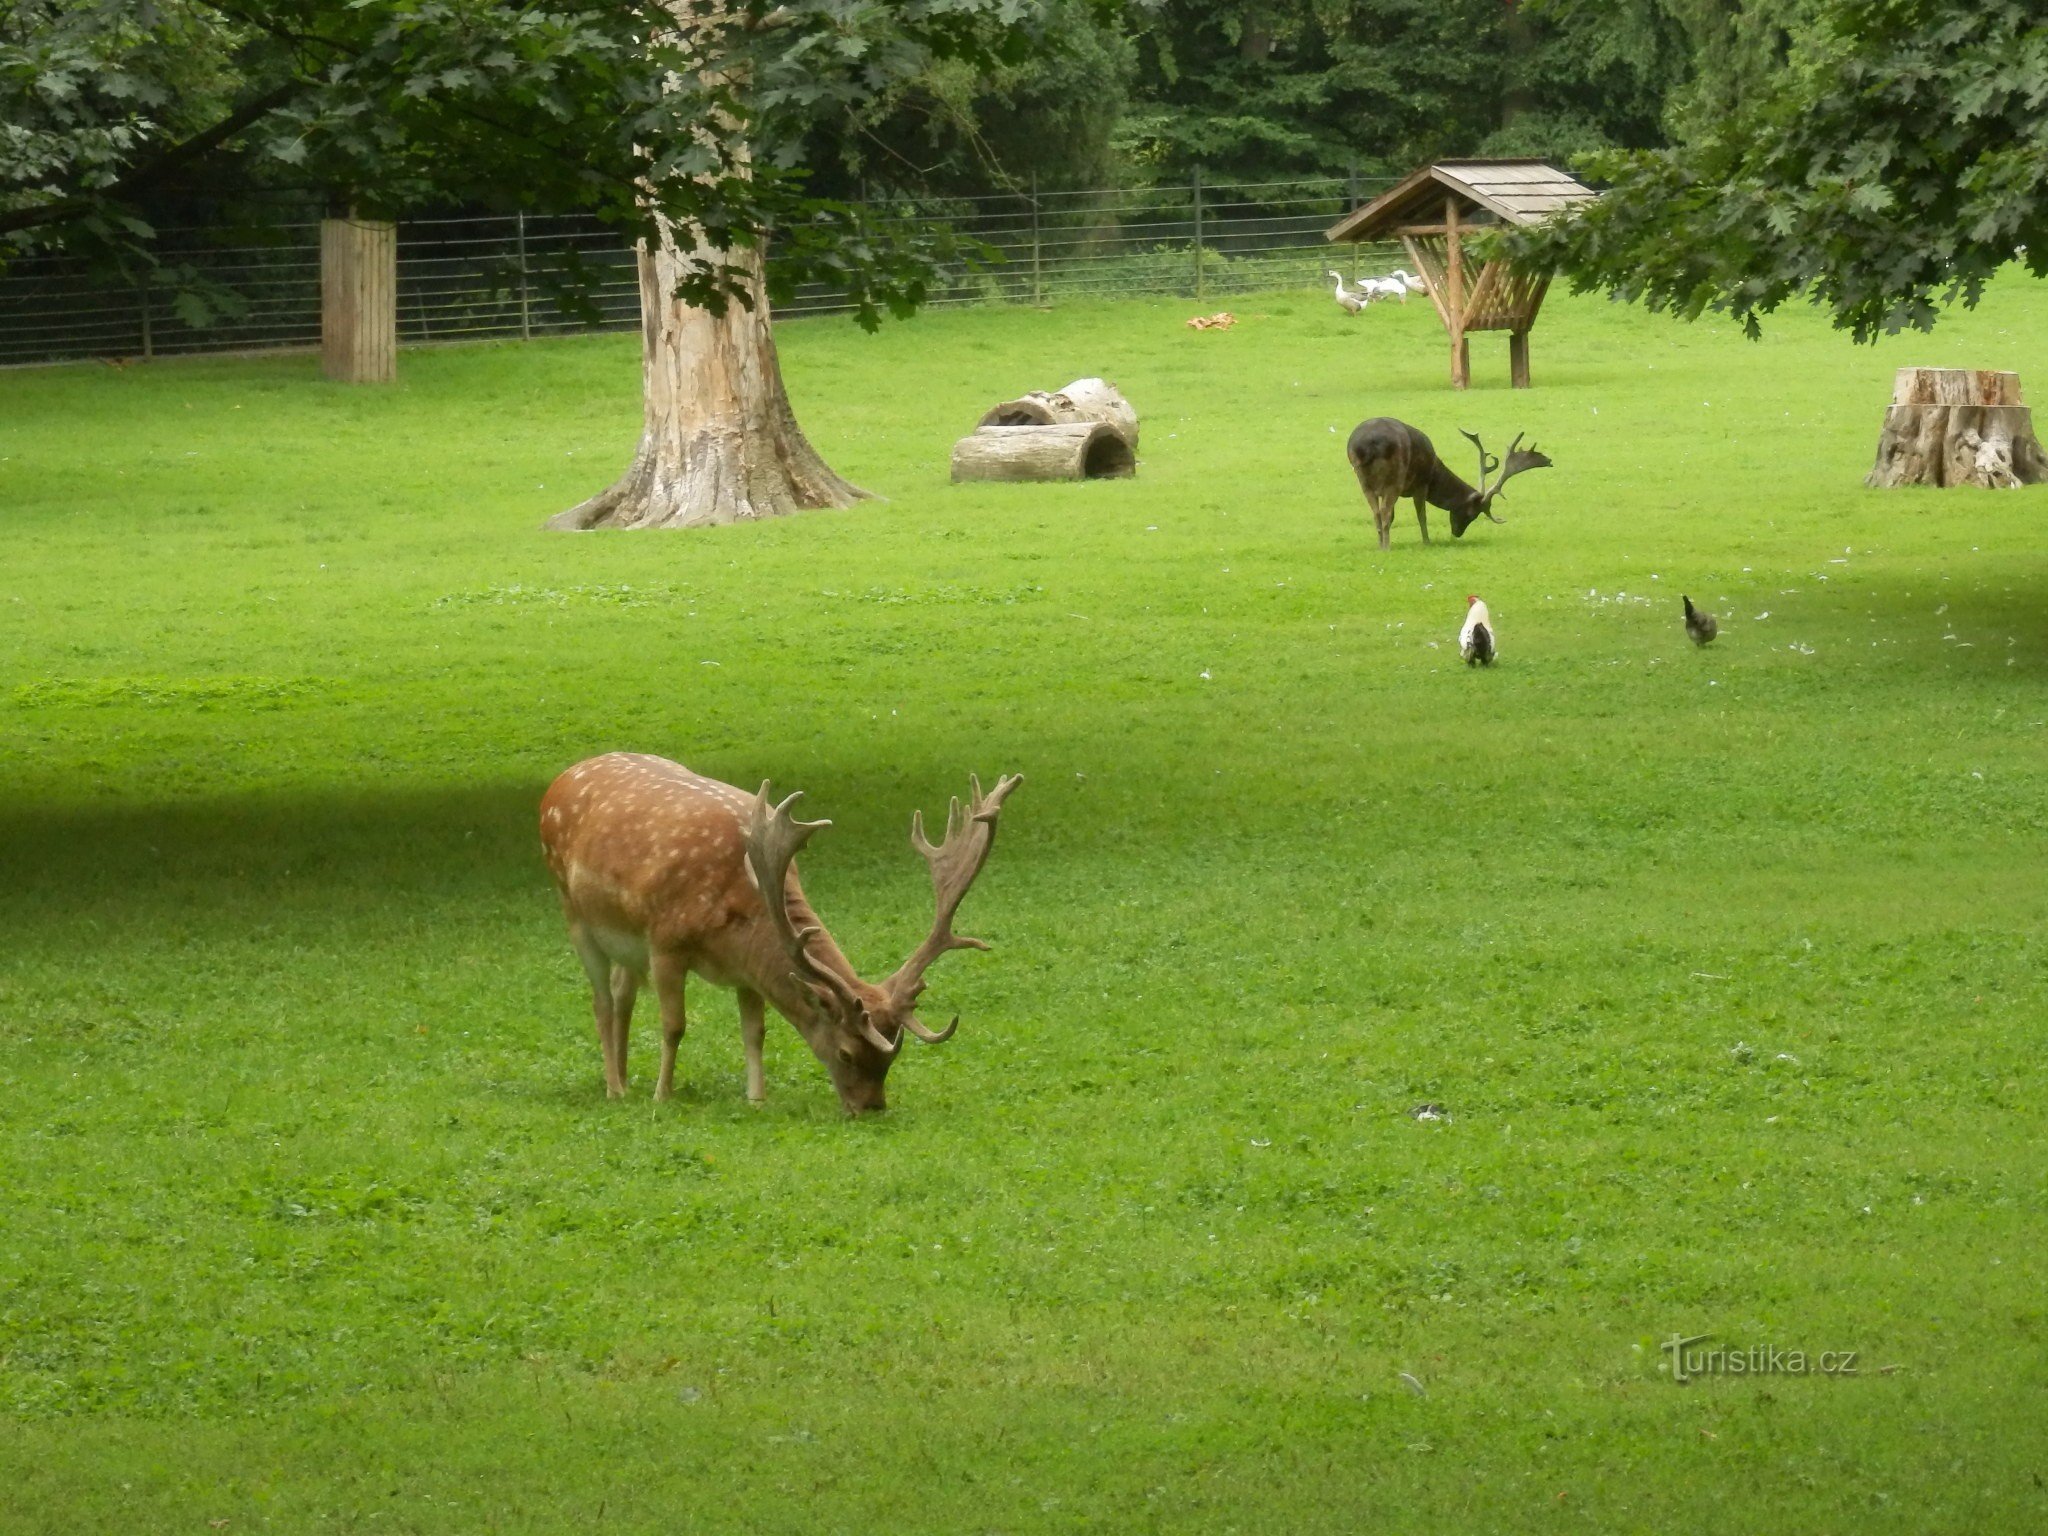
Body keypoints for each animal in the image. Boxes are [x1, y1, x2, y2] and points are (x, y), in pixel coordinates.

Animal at [540, 757, 1024, 1122]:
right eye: (846, 1054)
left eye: (891, 1060)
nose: (872, 1108)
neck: (735, 918)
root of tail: (562, 778)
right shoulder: (665, 944)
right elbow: (674, 1025)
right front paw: (663, 1095)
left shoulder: (743, 971)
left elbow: (755, 1031)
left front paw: (756, 1097)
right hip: (574, 913)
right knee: (602, 1001)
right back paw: (615, 1088)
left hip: (625, 941)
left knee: (622, 992)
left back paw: (622, 1077)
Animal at [1343, 421, 1548, 552]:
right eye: (1472, 514)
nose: (1457, 533)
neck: (1435, 472)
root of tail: (1367, 446)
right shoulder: (1421, 484)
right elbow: (1421, 516)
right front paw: (1427, 542)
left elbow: (1394, 516)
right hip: (1395, 478)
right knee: (1384, 512)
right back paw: (1387, 547)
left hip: (1364, 481)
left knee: (1377, 513)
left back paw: (1382, 545)